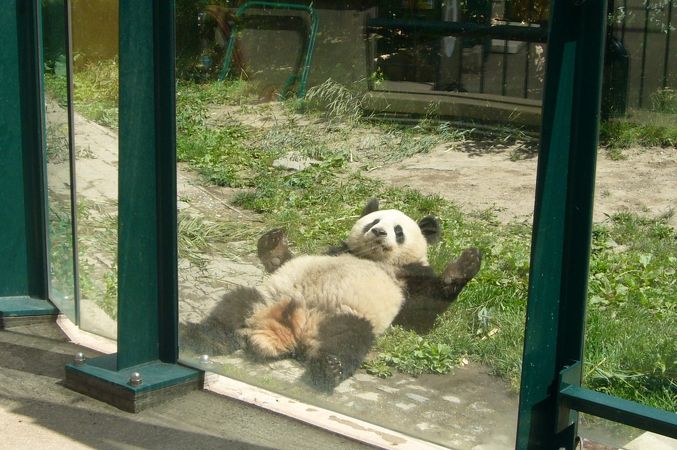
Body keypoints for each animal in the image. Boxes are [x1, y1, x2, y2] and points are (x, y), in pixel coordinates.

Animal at [184, 199, 480, 388]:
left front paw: (467, 262)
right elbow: (284, 261)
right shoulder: (336, 251)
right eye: (373, 221)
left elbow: (424, 315)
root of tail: (290, 332)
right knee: (237, 302)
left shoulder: (408, 280)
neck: (374, 258)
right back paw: (208, 337)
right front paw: (273, 242)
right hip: (269, 299)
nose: (378, 231)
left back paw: (329, 369)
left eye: (398, 231)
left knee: (349, 338)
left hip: (344, 315)